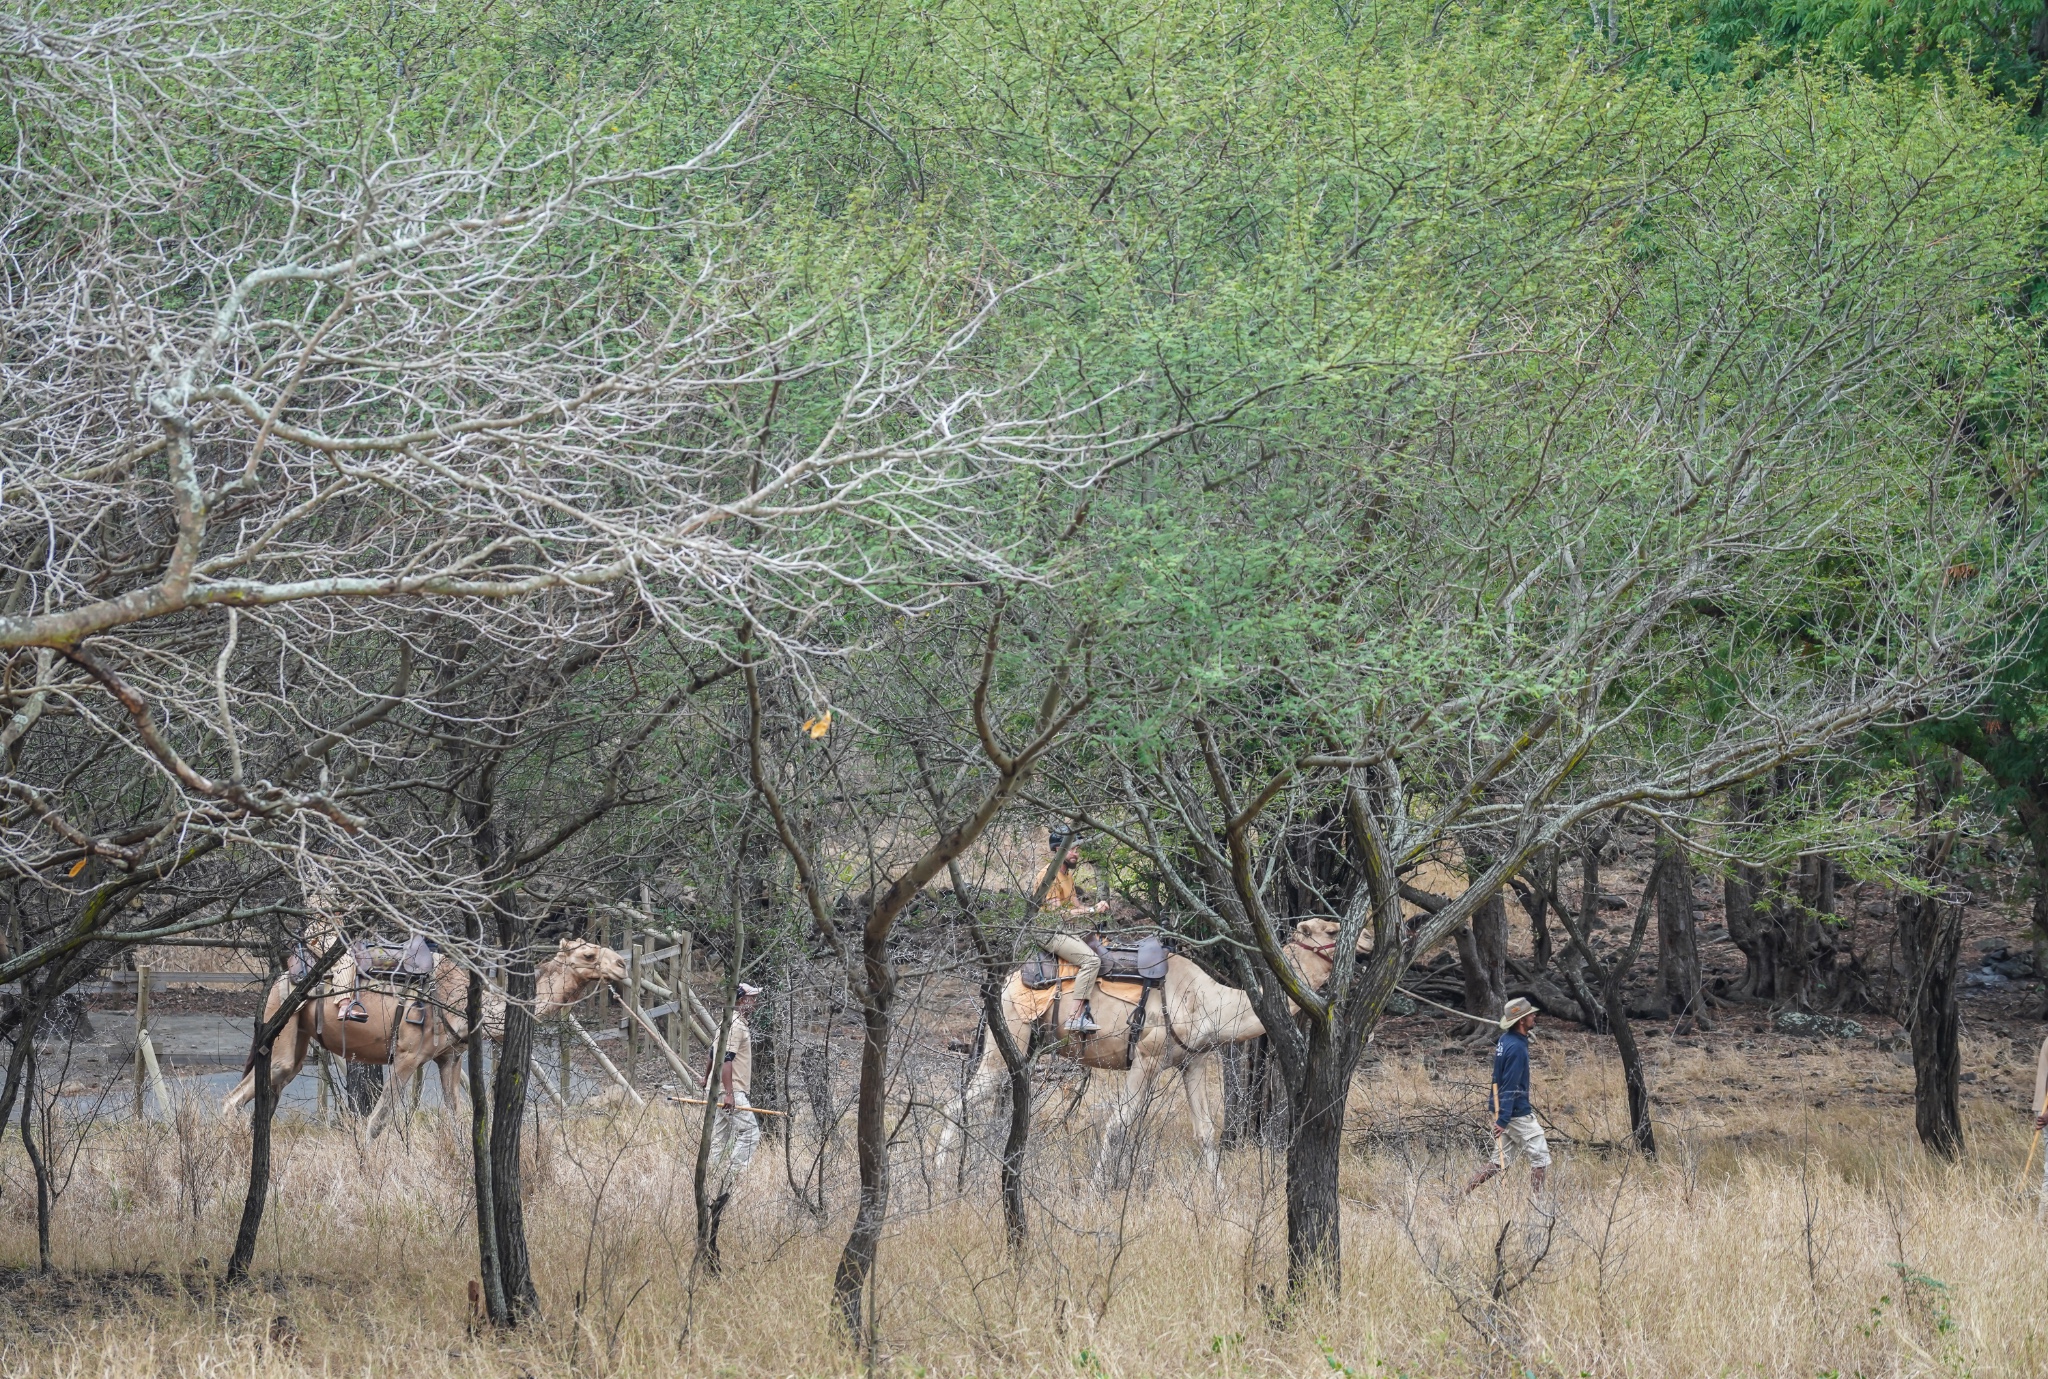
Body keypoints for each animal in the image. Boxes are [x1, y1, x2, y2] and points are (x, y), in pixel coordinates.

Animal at [222, 934, 622, 1139]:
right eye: (589, 954)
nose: (620, 965)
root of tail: (279, 979)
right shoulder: (406, 1057)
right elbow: (376, 1124)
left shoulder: (449, 1058)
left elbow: (458, 1120)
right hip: (283, 1029)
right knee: (234, 1099)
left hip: (296, 1037)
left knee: (266, 1091)